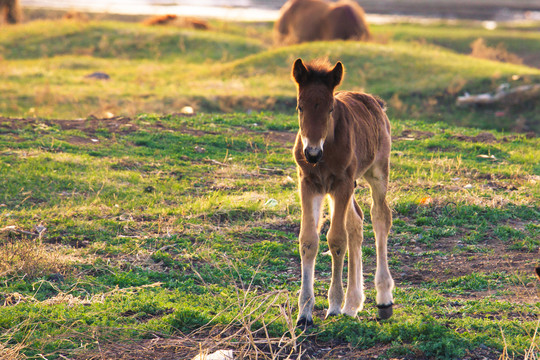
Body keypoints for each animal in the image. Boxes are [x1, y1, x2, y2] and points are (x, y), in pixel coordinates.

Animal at [294, 57, 394, 328]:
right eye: (300, 107)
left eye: (330, 109)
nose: (312, 153)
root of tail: (375, 102)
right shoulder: (310, 184)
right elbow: (309, 240)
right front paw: (304, 313)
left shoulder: (341, 183)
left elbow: (337, 240)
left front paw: (334, 305)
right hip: (344, 188)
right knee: (356, 223)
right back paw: (353, 304)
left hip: (376, 172)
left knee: (380, 217)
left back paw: (383, 299)